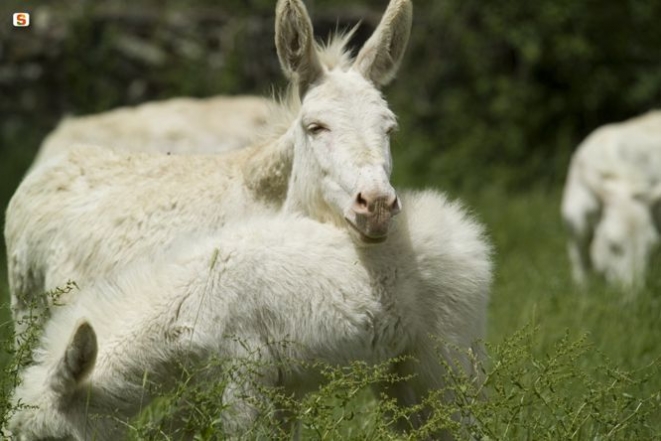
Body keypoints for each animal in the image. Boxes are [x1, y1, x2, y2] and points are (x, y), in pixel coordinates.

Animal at [5, 190, 490, 440]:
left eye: (48, 439)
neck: (187, 305)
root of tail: (467, 233)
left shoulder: (245, 377)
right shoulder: (242, 387)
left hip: (443, 366)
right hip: (399, 380)